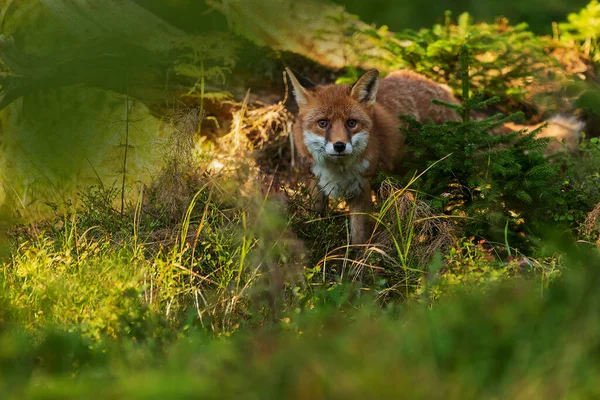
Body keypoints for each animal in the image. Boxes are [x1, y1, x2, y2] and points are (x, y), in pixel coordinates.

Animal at [286, 67, 584, 245]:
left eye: (351, 123)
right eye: (323, 123)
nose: (339, 146)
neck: (338, 171)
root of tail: (443, 89)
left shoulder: (362, 191)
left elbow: (359, 243)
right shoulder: (314, 186)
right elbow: (314, 226)